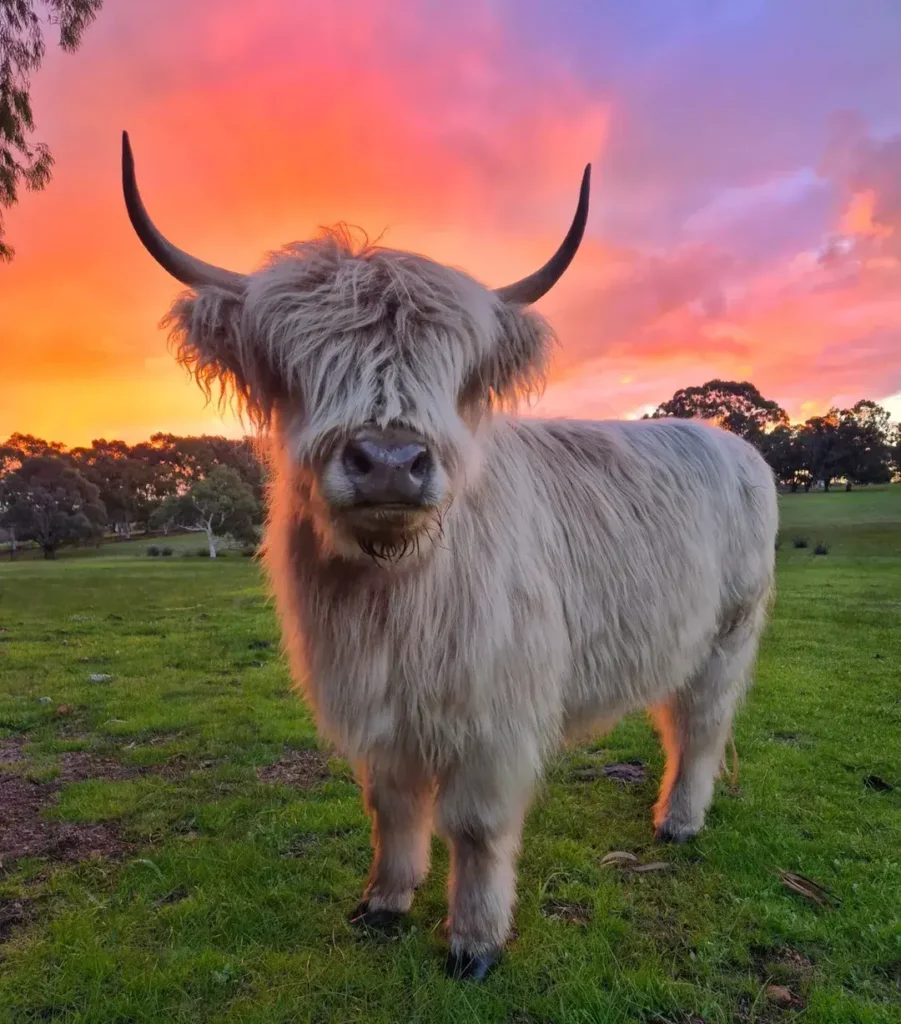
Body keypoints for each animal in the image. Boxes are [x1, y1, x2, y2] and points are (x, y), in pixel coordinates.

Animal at [121, 131, 778, 981]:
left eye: (449, 364)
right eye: (300, 361)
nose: (390, 461)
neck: (392, 598)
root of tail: (724, 439)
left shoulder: (495, 712)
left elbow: (474, 827)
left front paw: (473, 940)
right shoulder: (377, 705)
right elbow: (392, 806)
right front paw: (384, 901)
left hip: (729, 634)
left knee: (700, 725)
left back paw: (678, 821)